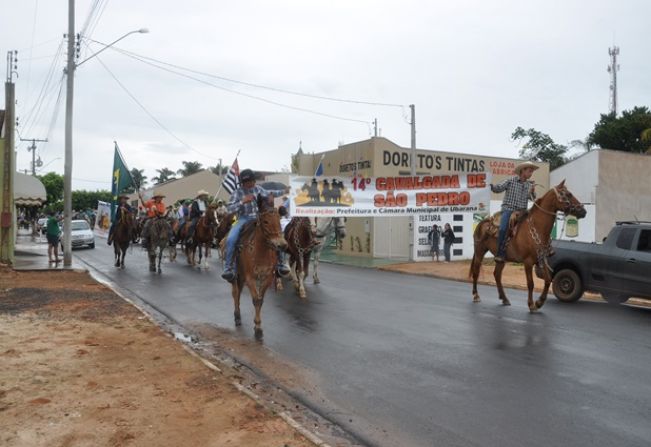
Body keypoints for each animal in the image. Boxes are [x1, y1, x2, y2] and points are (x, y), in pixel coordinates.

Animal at [232, 196, 288, 340]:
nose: (282, 245)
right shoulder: (250, 278)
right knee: (235, 293)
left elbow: (260, 300)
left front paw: (258, 327)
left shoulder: (267, 278)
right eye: (266, 221)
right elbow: (256, 300)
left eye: (279, 220)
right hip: (236, 275)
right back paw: (237, 316)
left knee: (238, 292)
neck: (260, 251)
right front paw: (257, 328)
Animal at [472, 180, 588, 314]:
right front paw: (531, 304)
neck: (537, 227)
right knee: (476, 272)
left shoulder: (542, 259)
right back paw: (476, 296)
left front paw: (539, 302)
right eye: (568, 194)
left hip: (501, 258)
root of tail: (483, 222)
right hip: (479, 251)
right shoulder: (528, 262)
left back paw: (504, 299)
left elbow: (548, 280)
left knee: (497, 275)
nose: (583, 211)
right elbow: (531, 283)